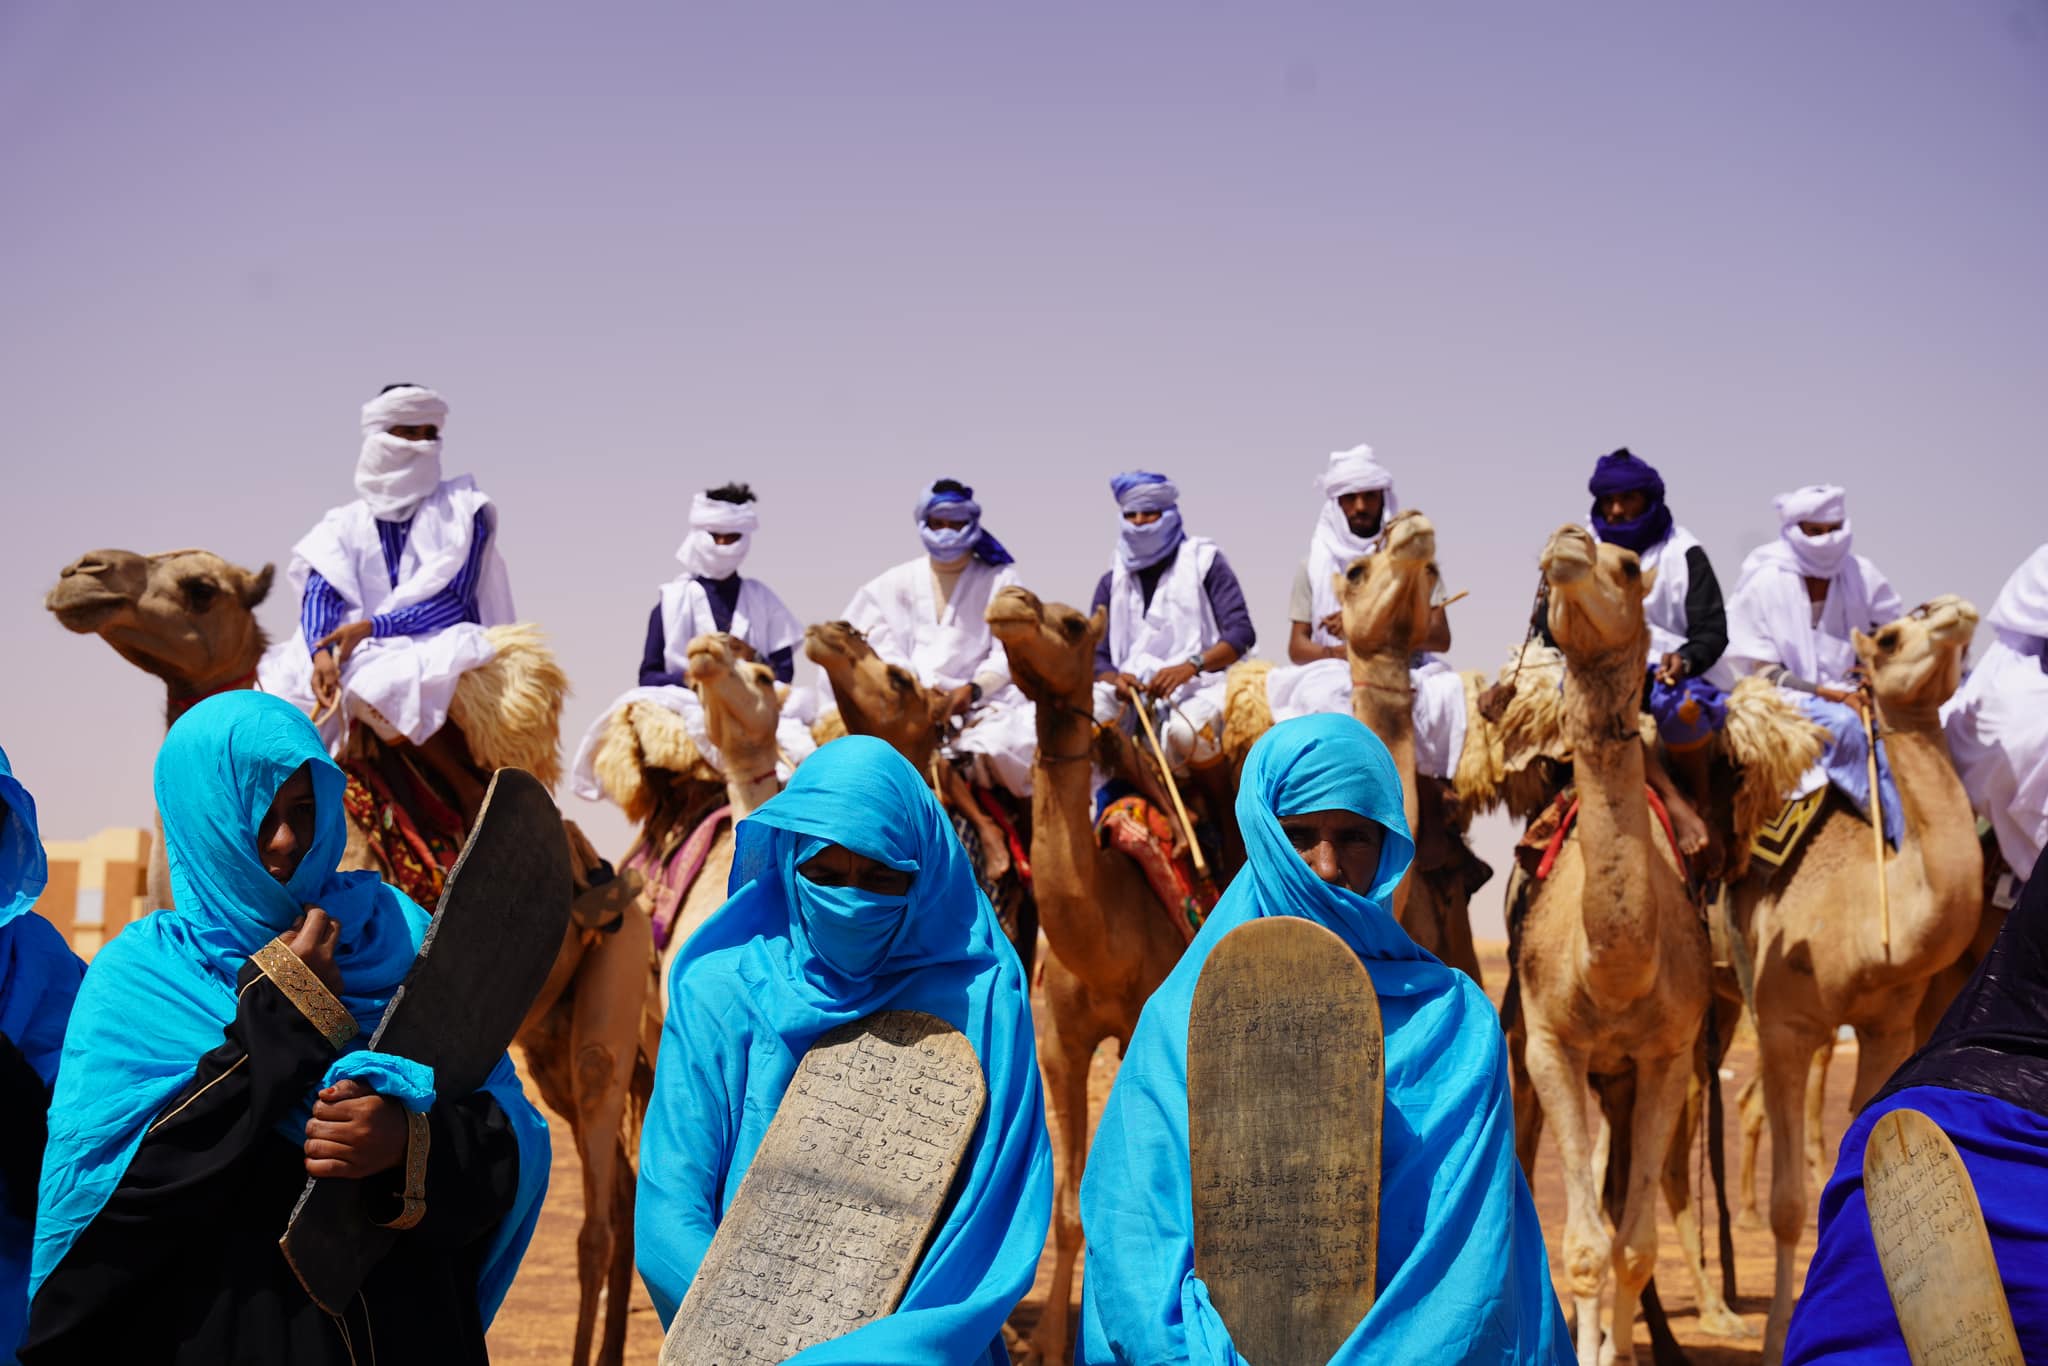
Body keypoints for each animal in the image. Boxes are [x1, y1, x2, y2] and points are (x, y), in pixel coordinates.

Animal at [978, 593, 1187, 1366]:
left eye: (1073, 625)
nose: (1009, 602)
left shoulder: (1139, 1030)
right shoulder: (1059, 1045)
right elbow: (1070, 1212)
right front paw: (1049, 1348)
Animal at [1728, 593, 1982, 1366]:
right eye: (1893, 635)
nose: (1956, 610)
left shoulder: (1886, 1027)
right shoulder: (1784, 1026)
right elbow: (1788, 1204)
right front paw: (1777, 1338)